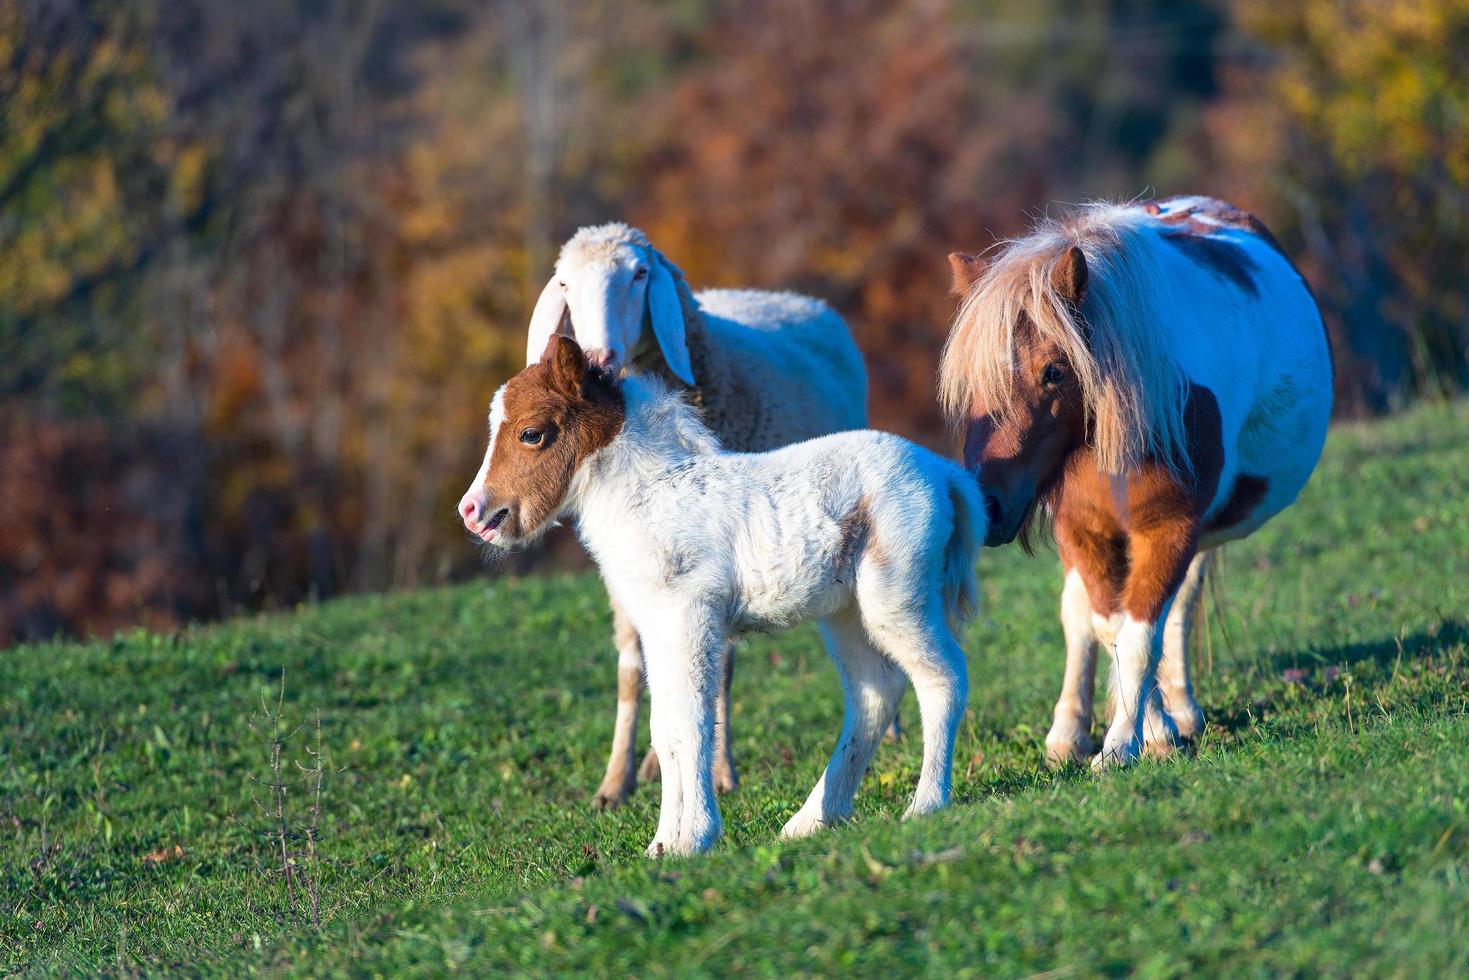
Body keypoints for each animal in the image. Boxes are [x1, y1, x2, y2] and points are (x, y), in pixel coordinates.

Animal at [458, 339, 987, 858]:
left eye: (531, 433)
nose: (472, 511)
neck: (649, 497)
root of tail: (943, 473)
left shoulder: (689, 616)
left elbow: (691, 721)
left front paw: (694, 838)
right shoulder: (656, 627)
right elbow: (665, 727)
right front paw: (663, 844)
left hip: (895, 597)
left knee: (942, 678)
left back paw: (925, 804)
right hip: (845, 614)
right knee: (876, 693)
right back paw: (811, 820)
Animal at [505, 226, 869, 811]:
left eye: (639, 274)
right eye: (563, 284)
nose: (599, 354)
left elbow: (718, 670)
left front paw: (719, 772)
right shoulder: (628, 569)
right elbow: (633, 668)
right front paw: (615, 781)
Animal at [940, 196, 1333, 764]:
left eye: (1054, 371)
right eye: (971, 380)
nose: (987, 506)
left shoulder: (1170, 528)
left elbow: (1143, 633)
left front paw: (1133, 742)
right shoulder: (1083, 532)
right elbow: (1112, 628)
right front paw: (1147, 730)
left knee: (1178, 609)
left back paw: (1180, 709)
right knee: (1079, 617)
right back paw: (1069, 731)